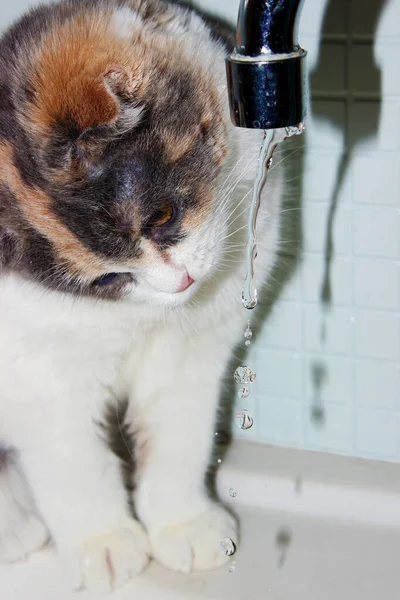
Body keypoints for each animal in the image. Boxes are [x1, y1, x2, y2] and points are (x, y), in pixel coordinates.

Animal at [0, 0, 282, 592]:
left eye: (161, 215)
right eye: (105, 280)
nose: (178, 285)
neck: (135, 322)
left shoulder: (192, 356)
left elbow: (179, 435)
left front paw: (184, 524)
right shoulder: (38, 374)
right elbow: (71, 459)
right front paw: (101, 543)